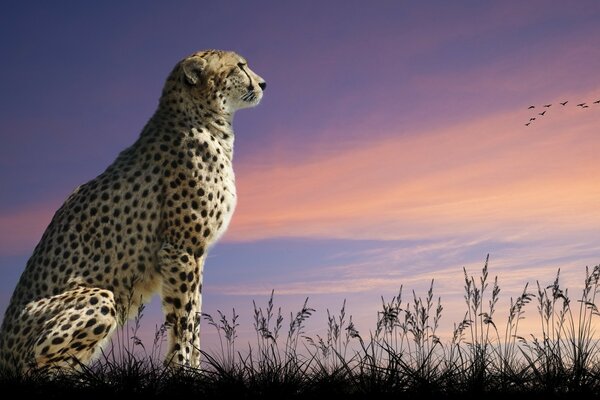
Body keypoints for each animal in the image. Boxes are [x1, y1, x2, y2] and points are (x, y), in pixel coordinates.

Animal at [0, 49, 264, 372]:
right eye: (240, 66)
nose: (264, 83)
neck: (206, 119)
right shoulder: (181, 249)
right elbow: (184, 319)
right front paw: (184, 370)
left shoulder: (194, 254)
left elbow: (195, 318)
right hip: (100, 298)